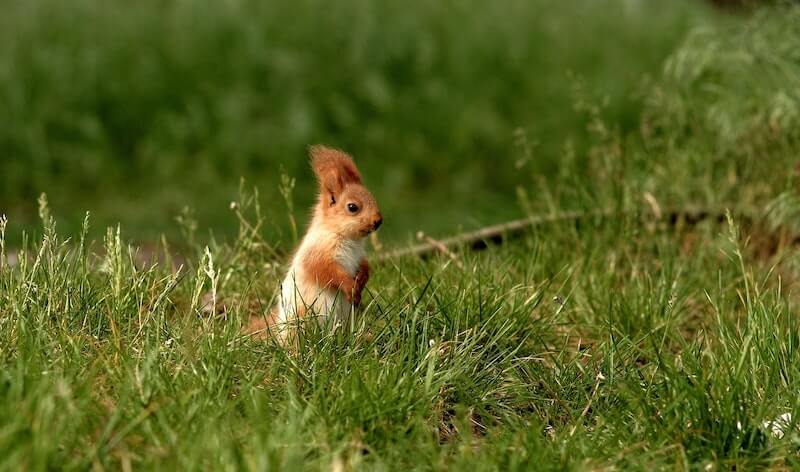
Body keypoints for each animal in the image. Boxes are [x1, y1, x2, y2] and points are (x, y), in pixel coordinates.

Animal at [253, 146, 384, 342]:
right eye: (352, 207)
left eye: (373, 197)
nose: (378, 221)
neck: (348, 239)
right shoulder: (317, 253)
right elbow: (326, 271)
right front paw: (350, 287)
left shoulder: (359, 256)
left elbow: (364, 266)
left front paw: (361, 280)